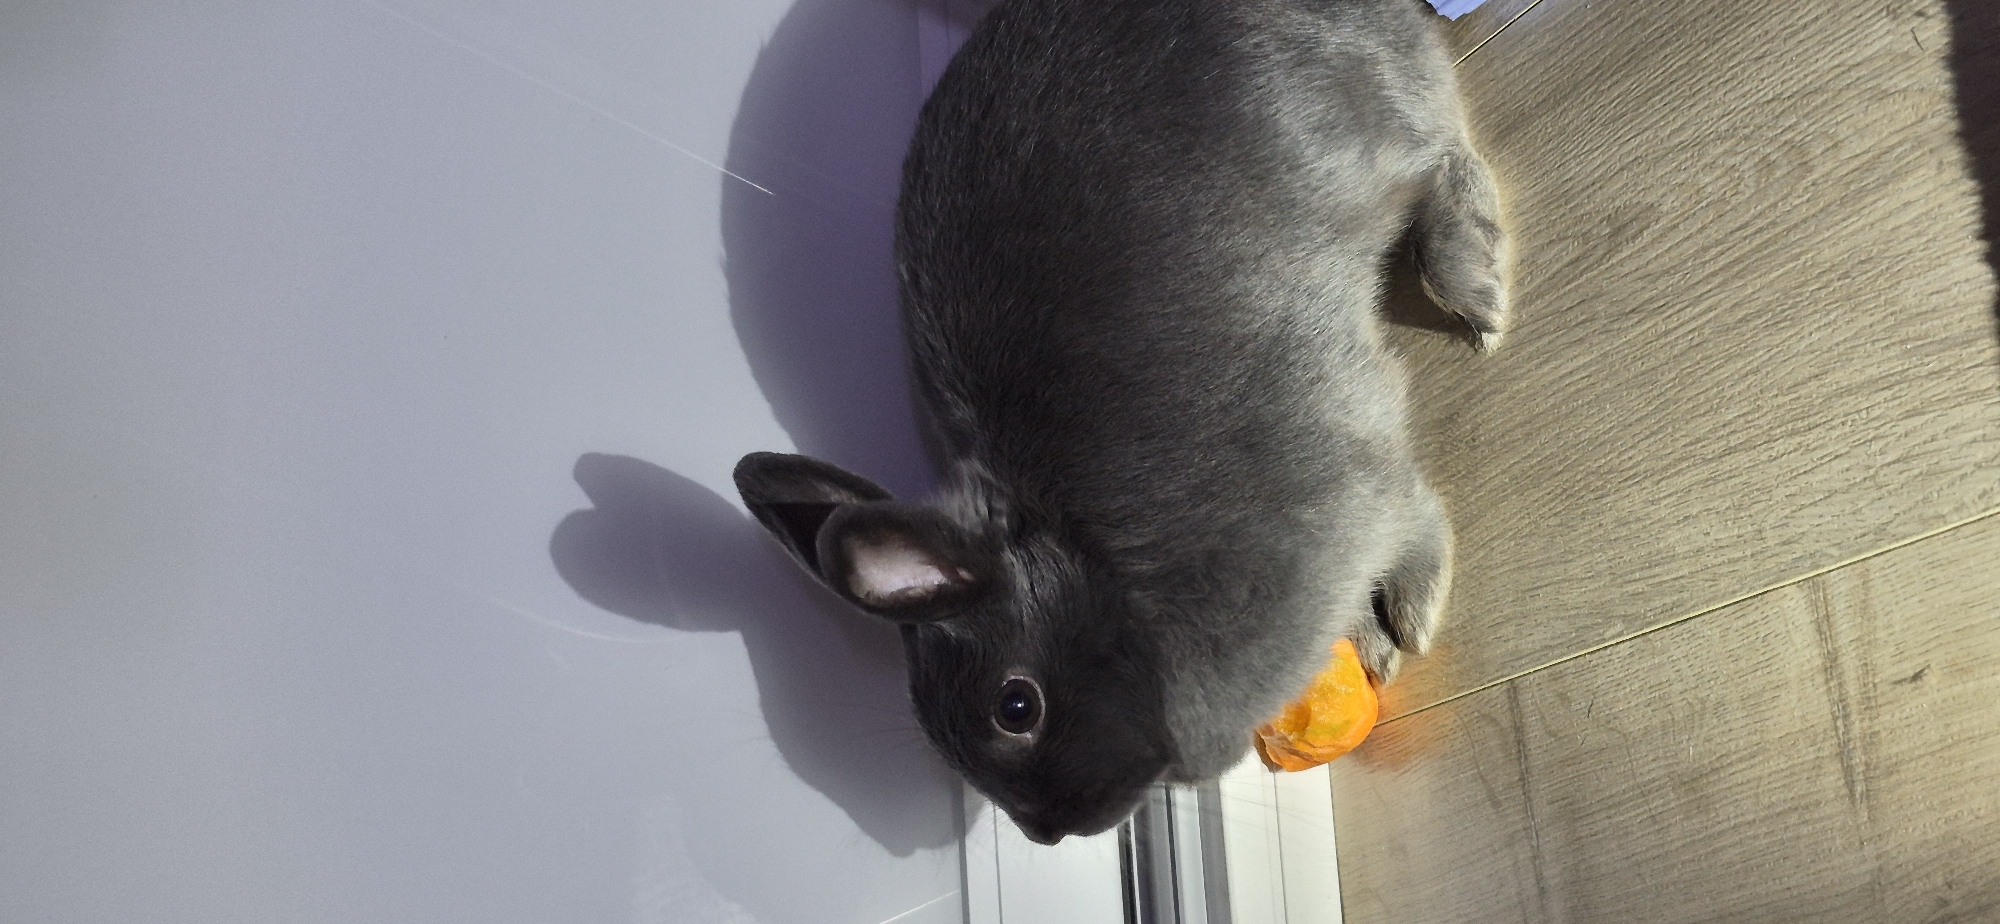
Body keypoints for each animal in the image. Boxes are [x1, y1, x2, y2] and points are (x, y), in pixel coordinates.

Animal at [733, 0, 1509, 846]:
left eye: (1016, 707)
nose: (1050, 831)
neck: (1105, 576)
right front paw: (1372, 646)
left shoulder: (1356, 488)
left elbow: (1415, 517)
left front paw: (1411, 620)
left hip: (1374, 130)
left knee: (1443, 158)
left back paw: (1477, 293)